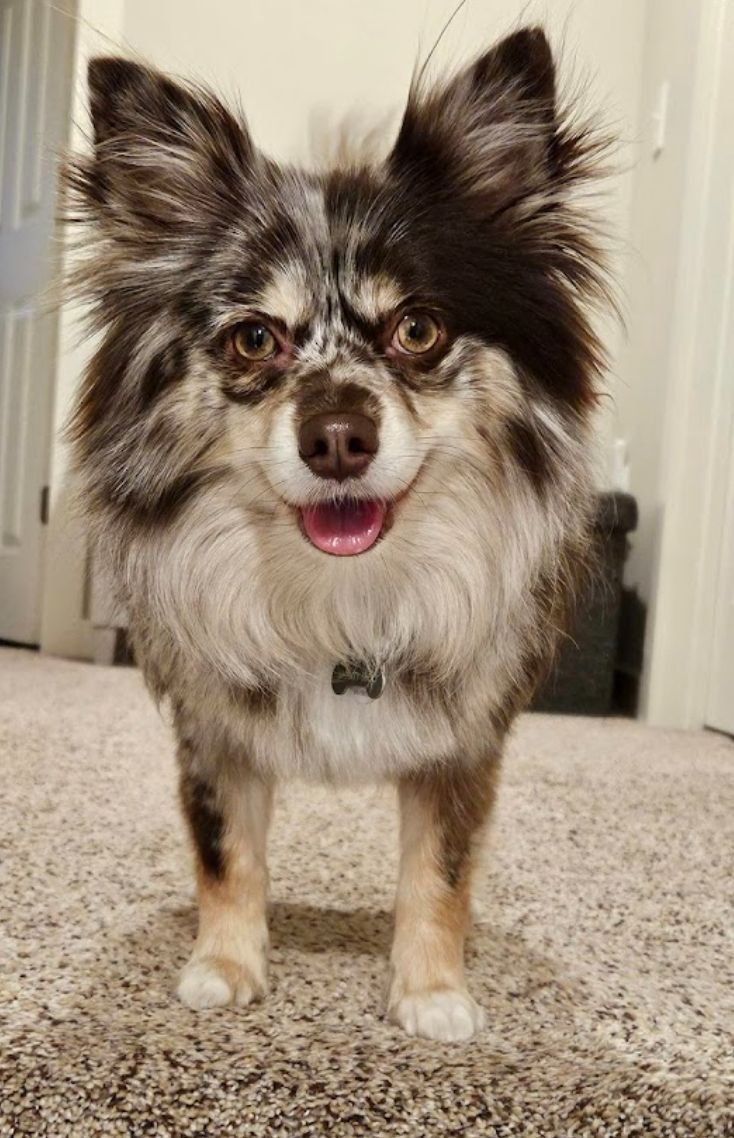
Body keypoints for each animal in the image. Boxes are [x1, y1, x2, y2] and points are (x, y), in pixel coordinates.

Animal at [65, 26, 609, 1042]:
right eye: (253, 340)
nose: (338, 438)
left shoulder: (465, 745)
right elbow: (226, 854)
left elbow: (440, 873)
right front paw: (223, 967)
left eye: (418, 330)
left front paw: (432, 993)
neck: (342, 598)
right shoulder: (213, 733)